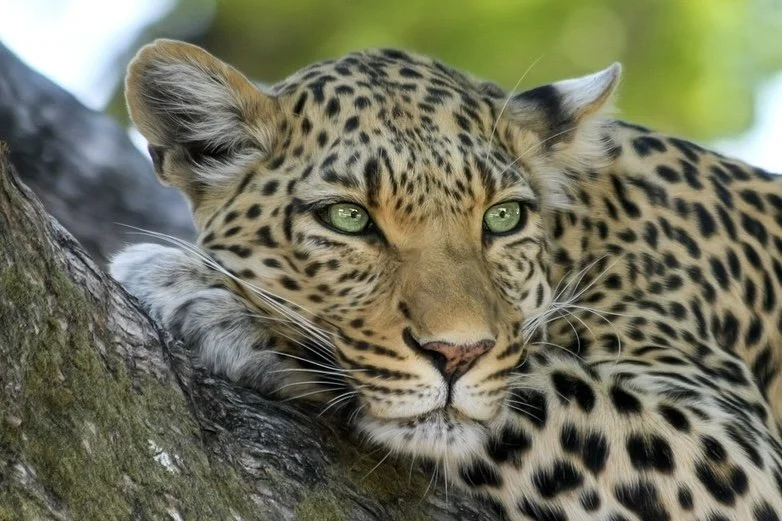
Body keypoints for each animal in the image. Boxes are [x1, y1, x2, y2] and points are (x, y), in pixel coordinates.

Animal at [110, 39, 782, 520]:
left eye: (503, 218)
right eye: (347, 218)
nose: (457, 355)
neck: (582, 238)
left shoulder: (739, 453)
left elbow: (531, 380)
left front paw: (205, 295)